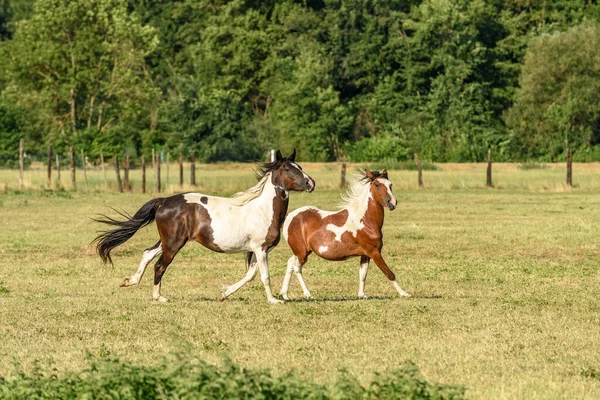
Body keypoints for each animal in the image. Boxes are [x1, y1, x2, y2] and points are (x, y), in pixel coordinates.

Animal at [92, 150, 314, 304]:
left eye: (300, 166)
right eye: (288, 169)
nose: (311, 183)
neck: (263, 209)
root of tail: (163, 201)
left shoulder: (254, 250)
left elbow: (249, 275)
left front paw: (224, 294)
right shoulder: (261, 249)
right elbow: (264, 276)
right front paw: (273, 300)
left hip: (167, 241)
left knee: (147, 254)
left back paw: (130, 281)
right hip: (173, 243)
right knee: (159, 265)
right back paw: (158, 297)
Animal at [278, 170, 410, 300]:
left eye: (390, 185)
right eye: (377, 185)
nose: (392, 203)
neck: (365, 220)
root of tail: (289, 216)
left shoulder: (365, 254)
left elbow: (363, 274)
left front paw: (362, 295)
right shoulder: (374, 252)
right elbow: (389, 273)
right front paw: (404, 293)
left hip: (301, 251)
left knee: (290, 264)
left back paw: (285, 295)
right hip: (302, 253)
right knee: (297, 268)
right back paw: (307, 294)